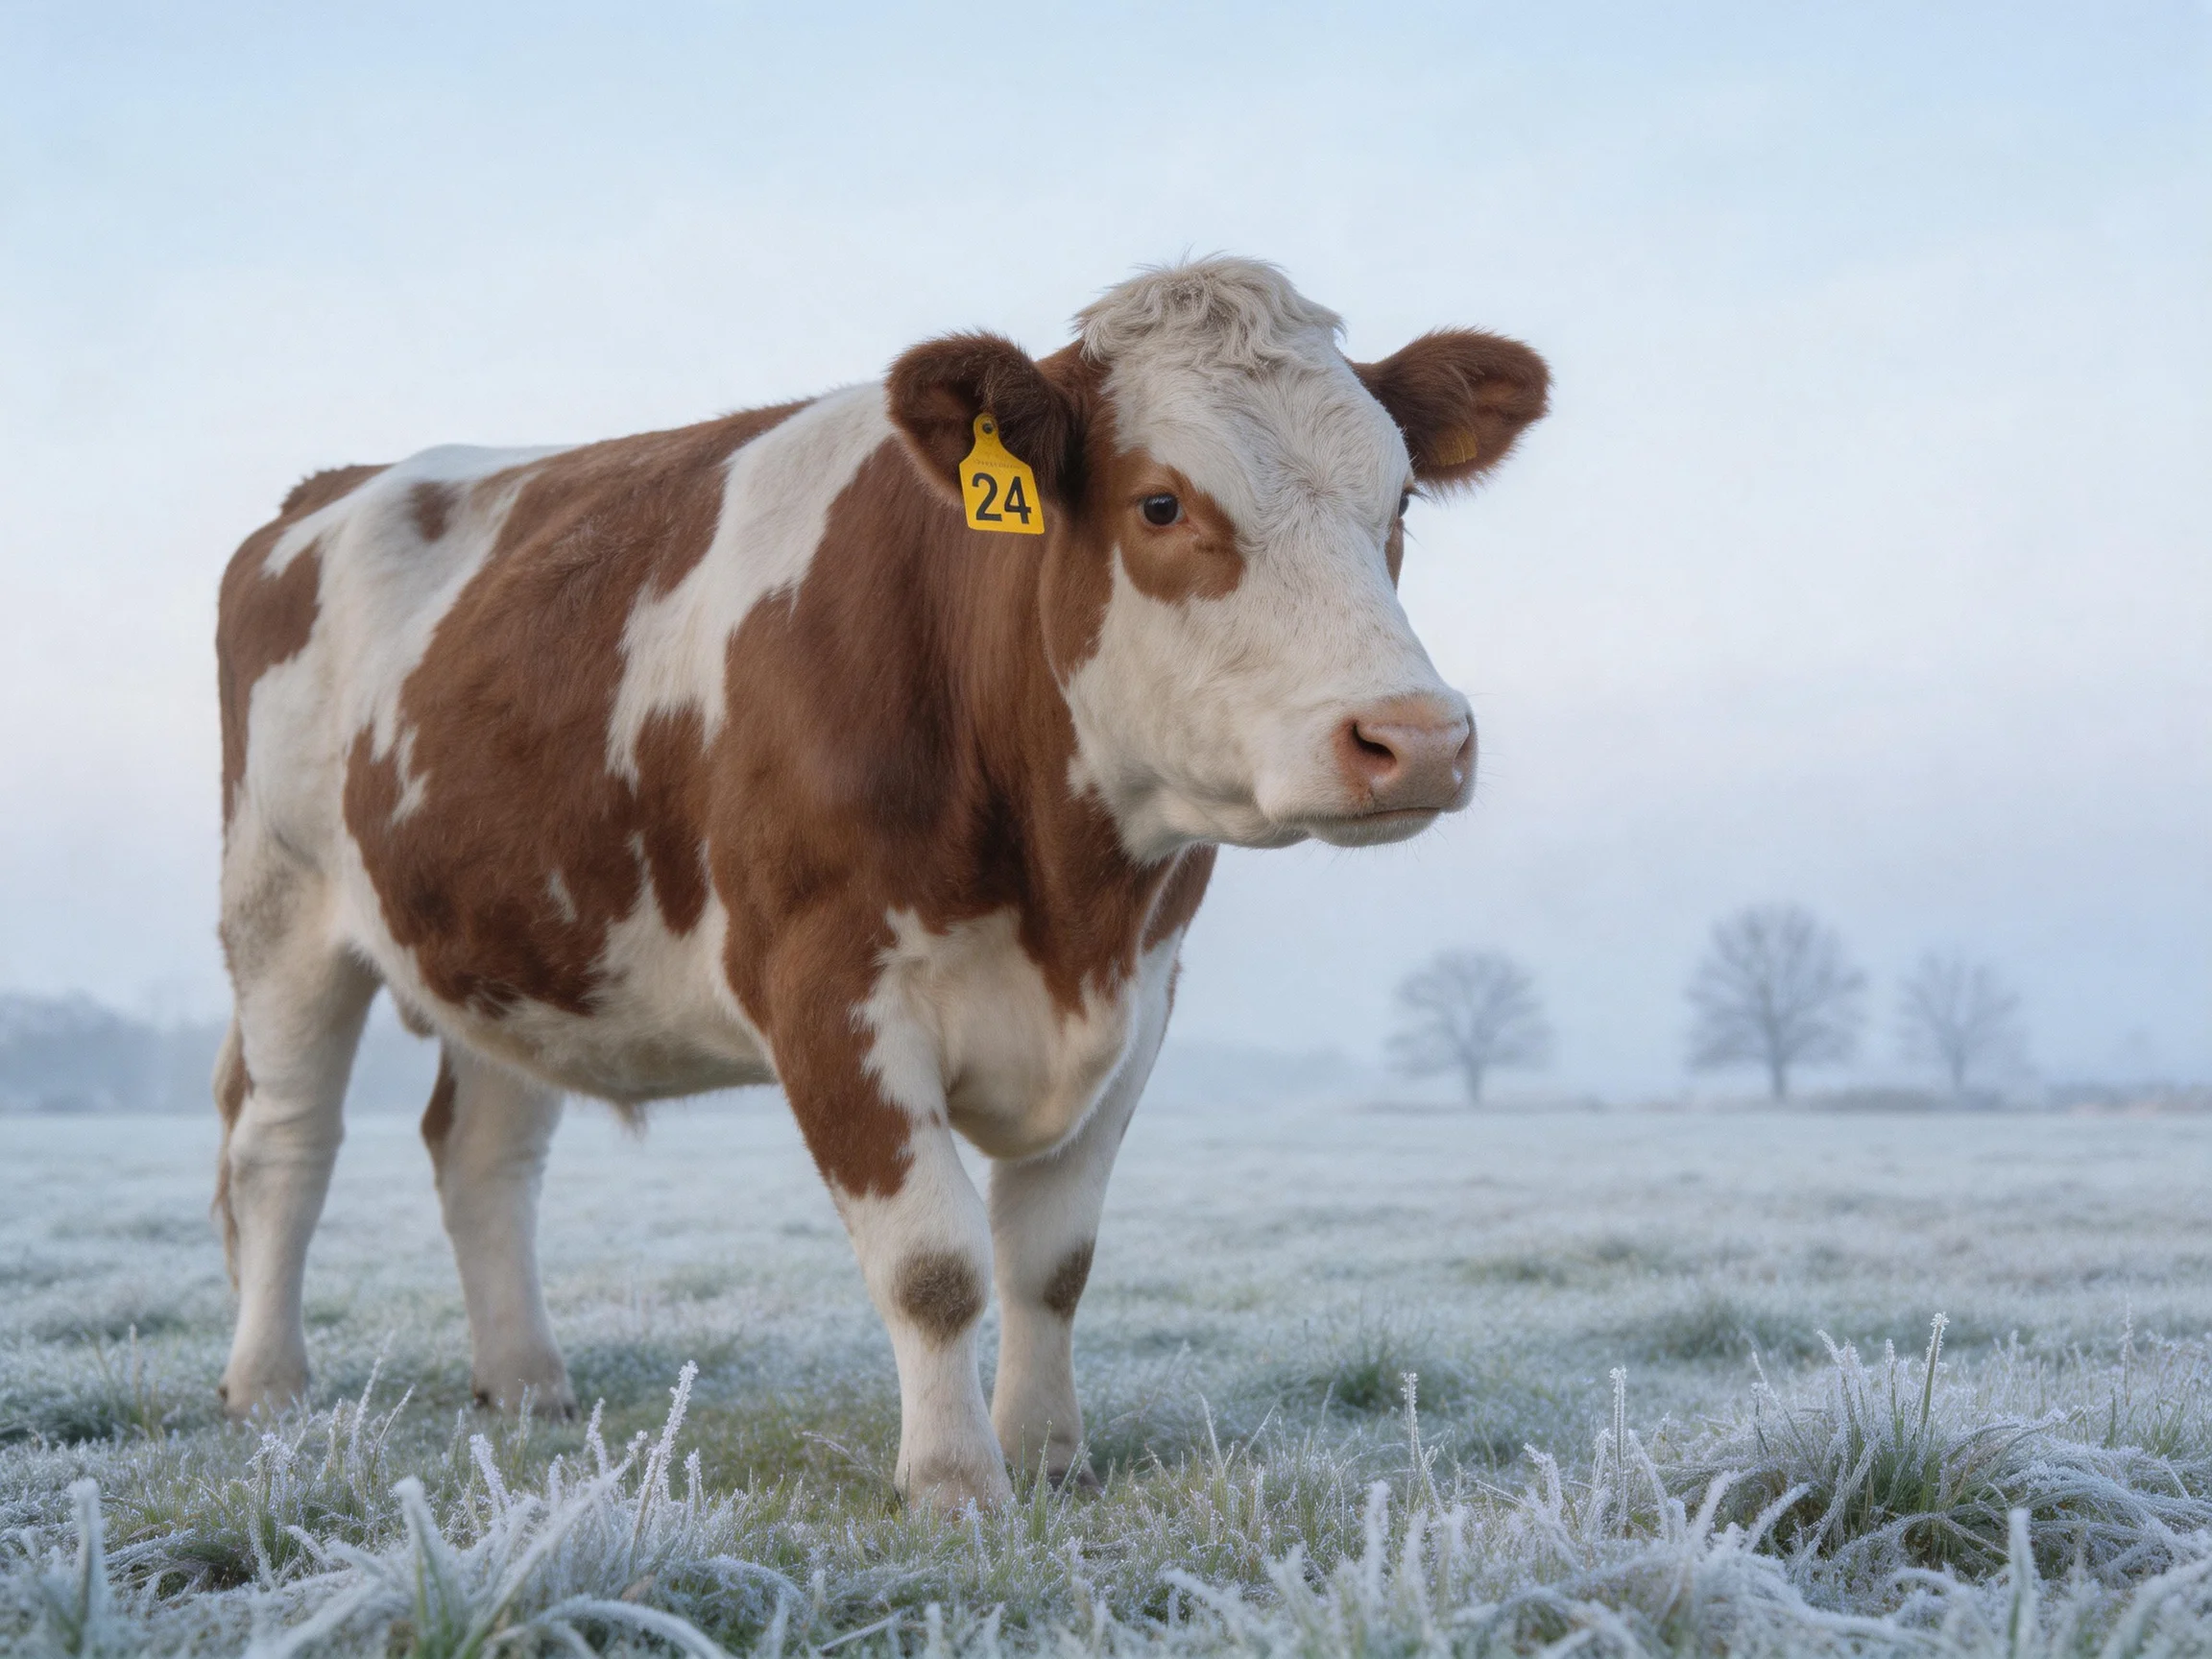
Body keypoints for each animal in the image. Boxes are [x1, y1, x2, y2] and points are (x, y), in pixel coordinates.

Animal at [211, 258, 1547, 1510]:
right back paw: (267, 1387)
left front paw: (1048, 1457)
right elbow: (935, 1264)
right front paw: (956, 1483)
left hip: (517, 945)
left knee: (483, 1152)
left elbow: (1053, 1258)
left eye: (1400, 499)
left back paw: (528, 1383)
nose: (1416, 737)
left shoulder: (1146, 994)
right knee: (283, 1145)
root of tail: (324, 492)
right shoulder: (826, 986)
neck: (1068, 905)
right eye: (1161, 503)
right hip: (279, 912)